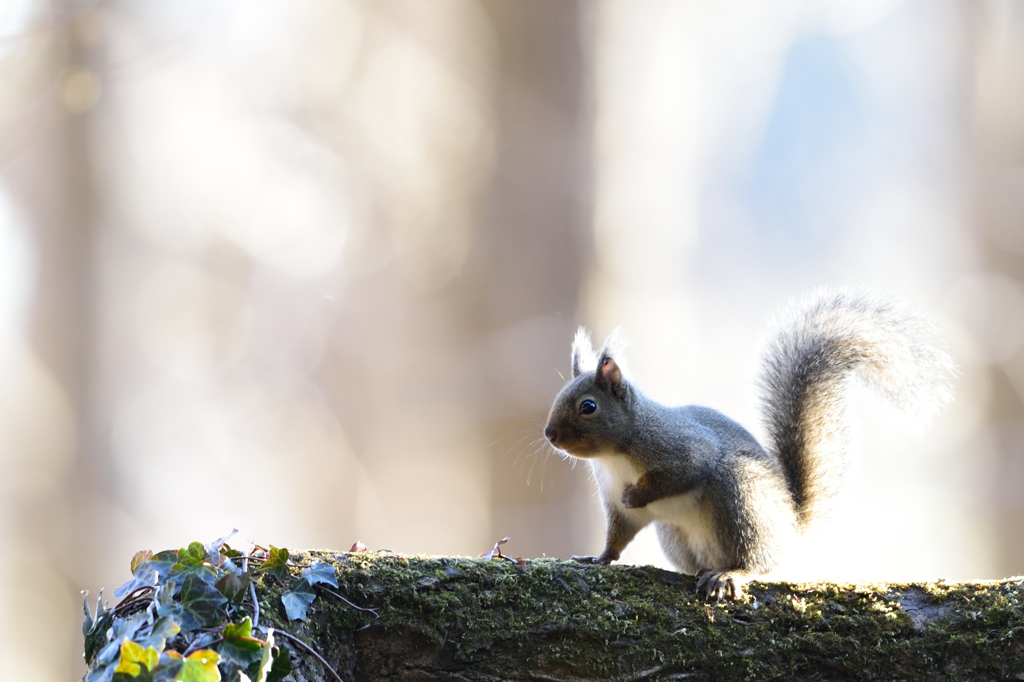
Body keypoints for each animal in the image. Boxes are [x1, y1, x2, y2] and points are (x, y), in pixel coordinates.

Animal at [544, 288, 950, 598]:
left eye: (588, 407)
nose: (549, 435)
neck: (614, 455)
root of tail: (790, 529)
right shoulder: (612, 498)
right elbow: (618, 532)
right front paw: (597, 558)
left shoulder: (680, 446)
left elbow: (685, 470)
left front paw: (638, 494)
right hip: (678, 535)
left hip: (740, 496)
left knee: (758, 563)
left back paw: (731, 574)